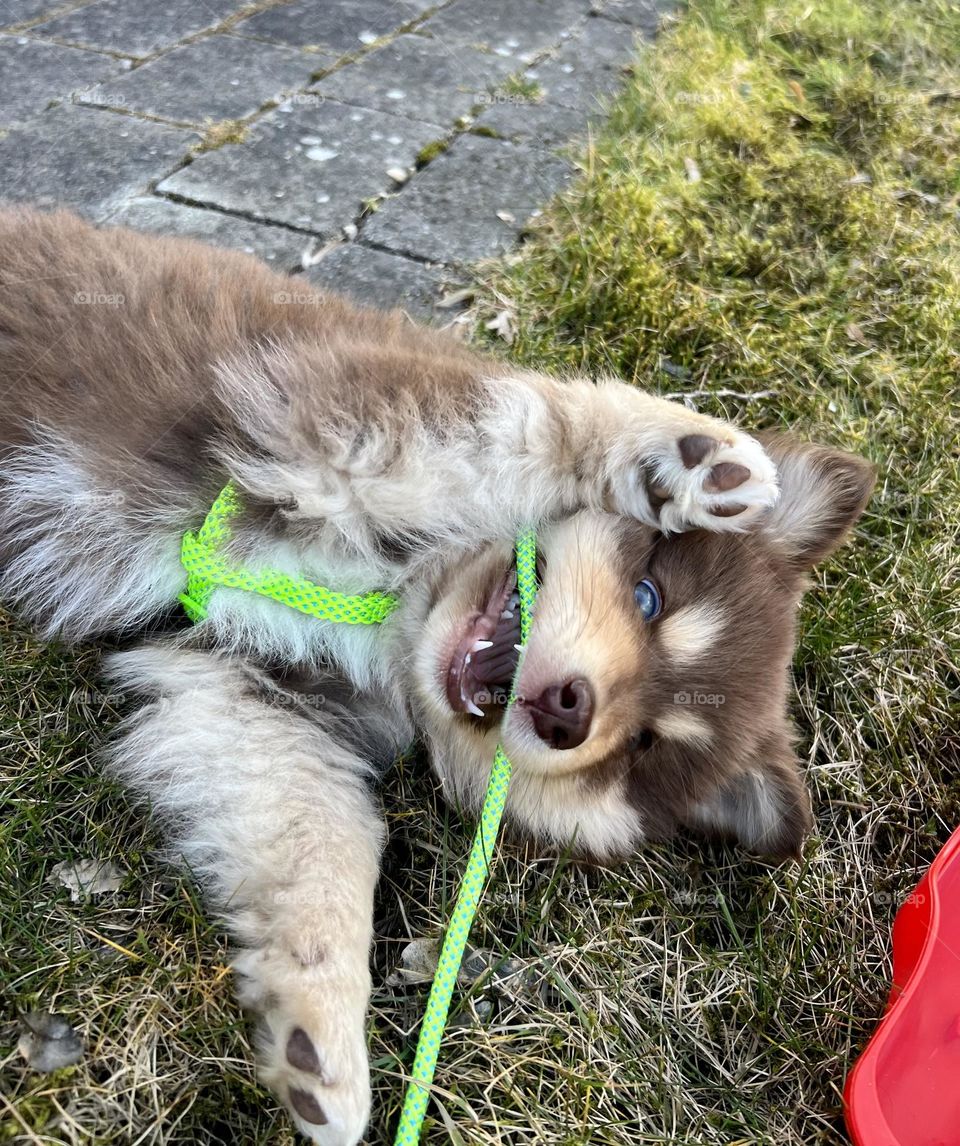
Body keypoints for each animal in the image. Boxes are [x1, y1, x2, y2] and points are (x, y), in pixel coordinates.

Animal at [0, 208, 870, 1146]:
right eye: (649, 598)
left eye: (640, 747)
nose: (572, 712)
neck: (398, 602)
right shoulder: (343, 410)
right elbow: (536, 423)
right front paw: (688, 457)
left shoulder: (257, 704)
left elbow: (323, 845)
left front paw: (321, 1041)